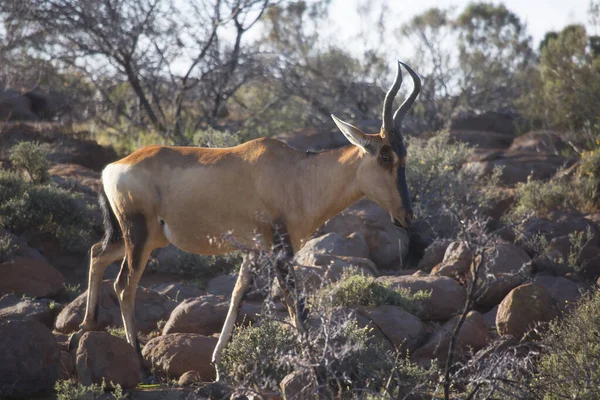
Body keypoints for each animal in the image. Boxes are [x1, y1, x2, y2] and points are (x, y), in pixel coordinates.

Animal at [77, 60, 420, 382]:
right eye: (385, 156)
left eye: (404, 155)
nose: (406, 217)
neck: (296, 173)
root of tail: (112, 167)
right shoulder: (281, 251)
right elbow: (296, 306)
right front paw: (319, 372)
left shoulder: (253, 252)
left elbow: (236, 297)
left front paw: (218, 366)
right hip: (139, 237)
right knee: (124, 286)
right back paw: (141, 366)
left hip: (140, 237)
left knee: (96, 253)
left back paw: (87, 324)